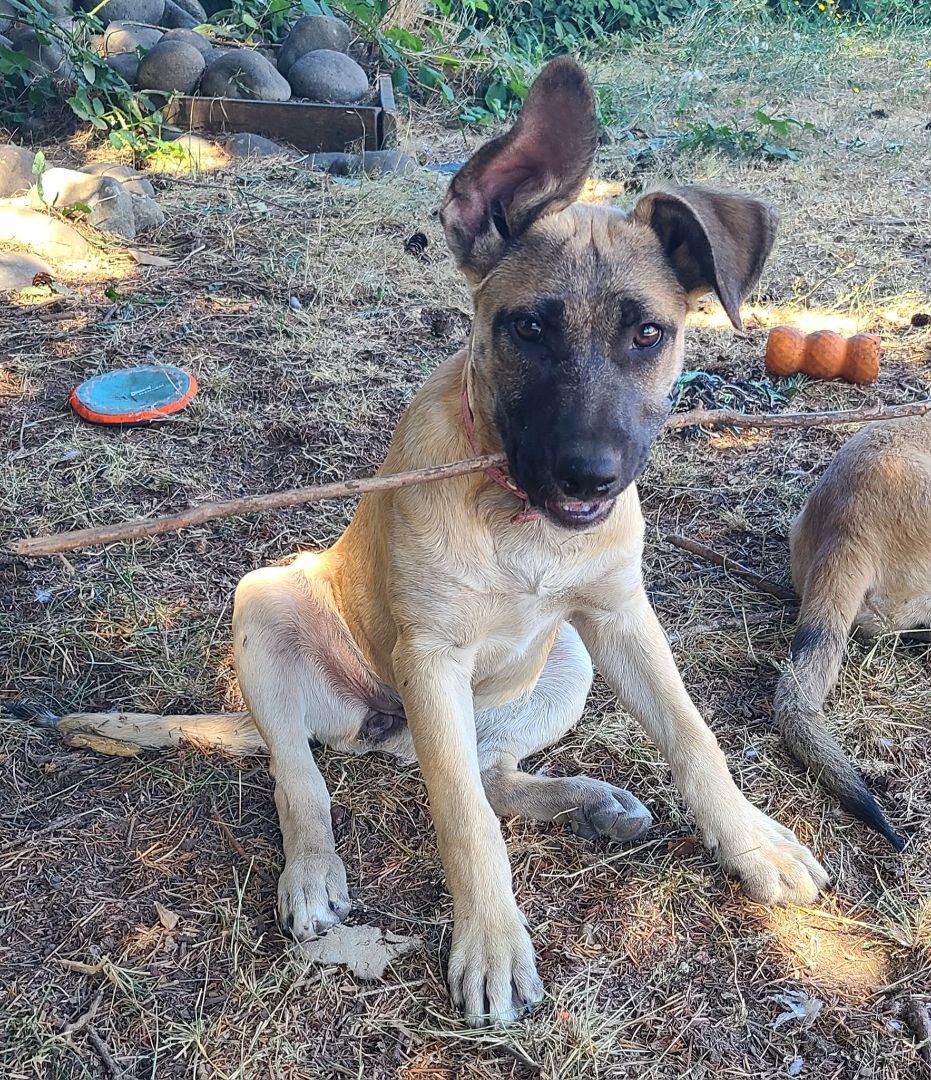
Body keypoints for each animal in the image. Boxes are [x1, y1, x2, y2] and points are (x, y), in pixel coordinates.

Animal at [18, 61, 829, 1028]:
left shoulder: (620, 618)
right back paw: (313, 872)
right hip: (267, 599)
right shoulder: (431, 656)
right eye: (527, 328)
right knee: (305, 775)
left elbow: (691, 739)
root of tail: (378, 736)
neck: (519, 522)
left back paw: (587, 802)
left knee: (486, 769)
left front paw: (752, 844)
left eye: (648, 335)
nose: (590, 477)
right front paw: (490, 943)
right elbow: (460, 819)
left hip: (564, 665)